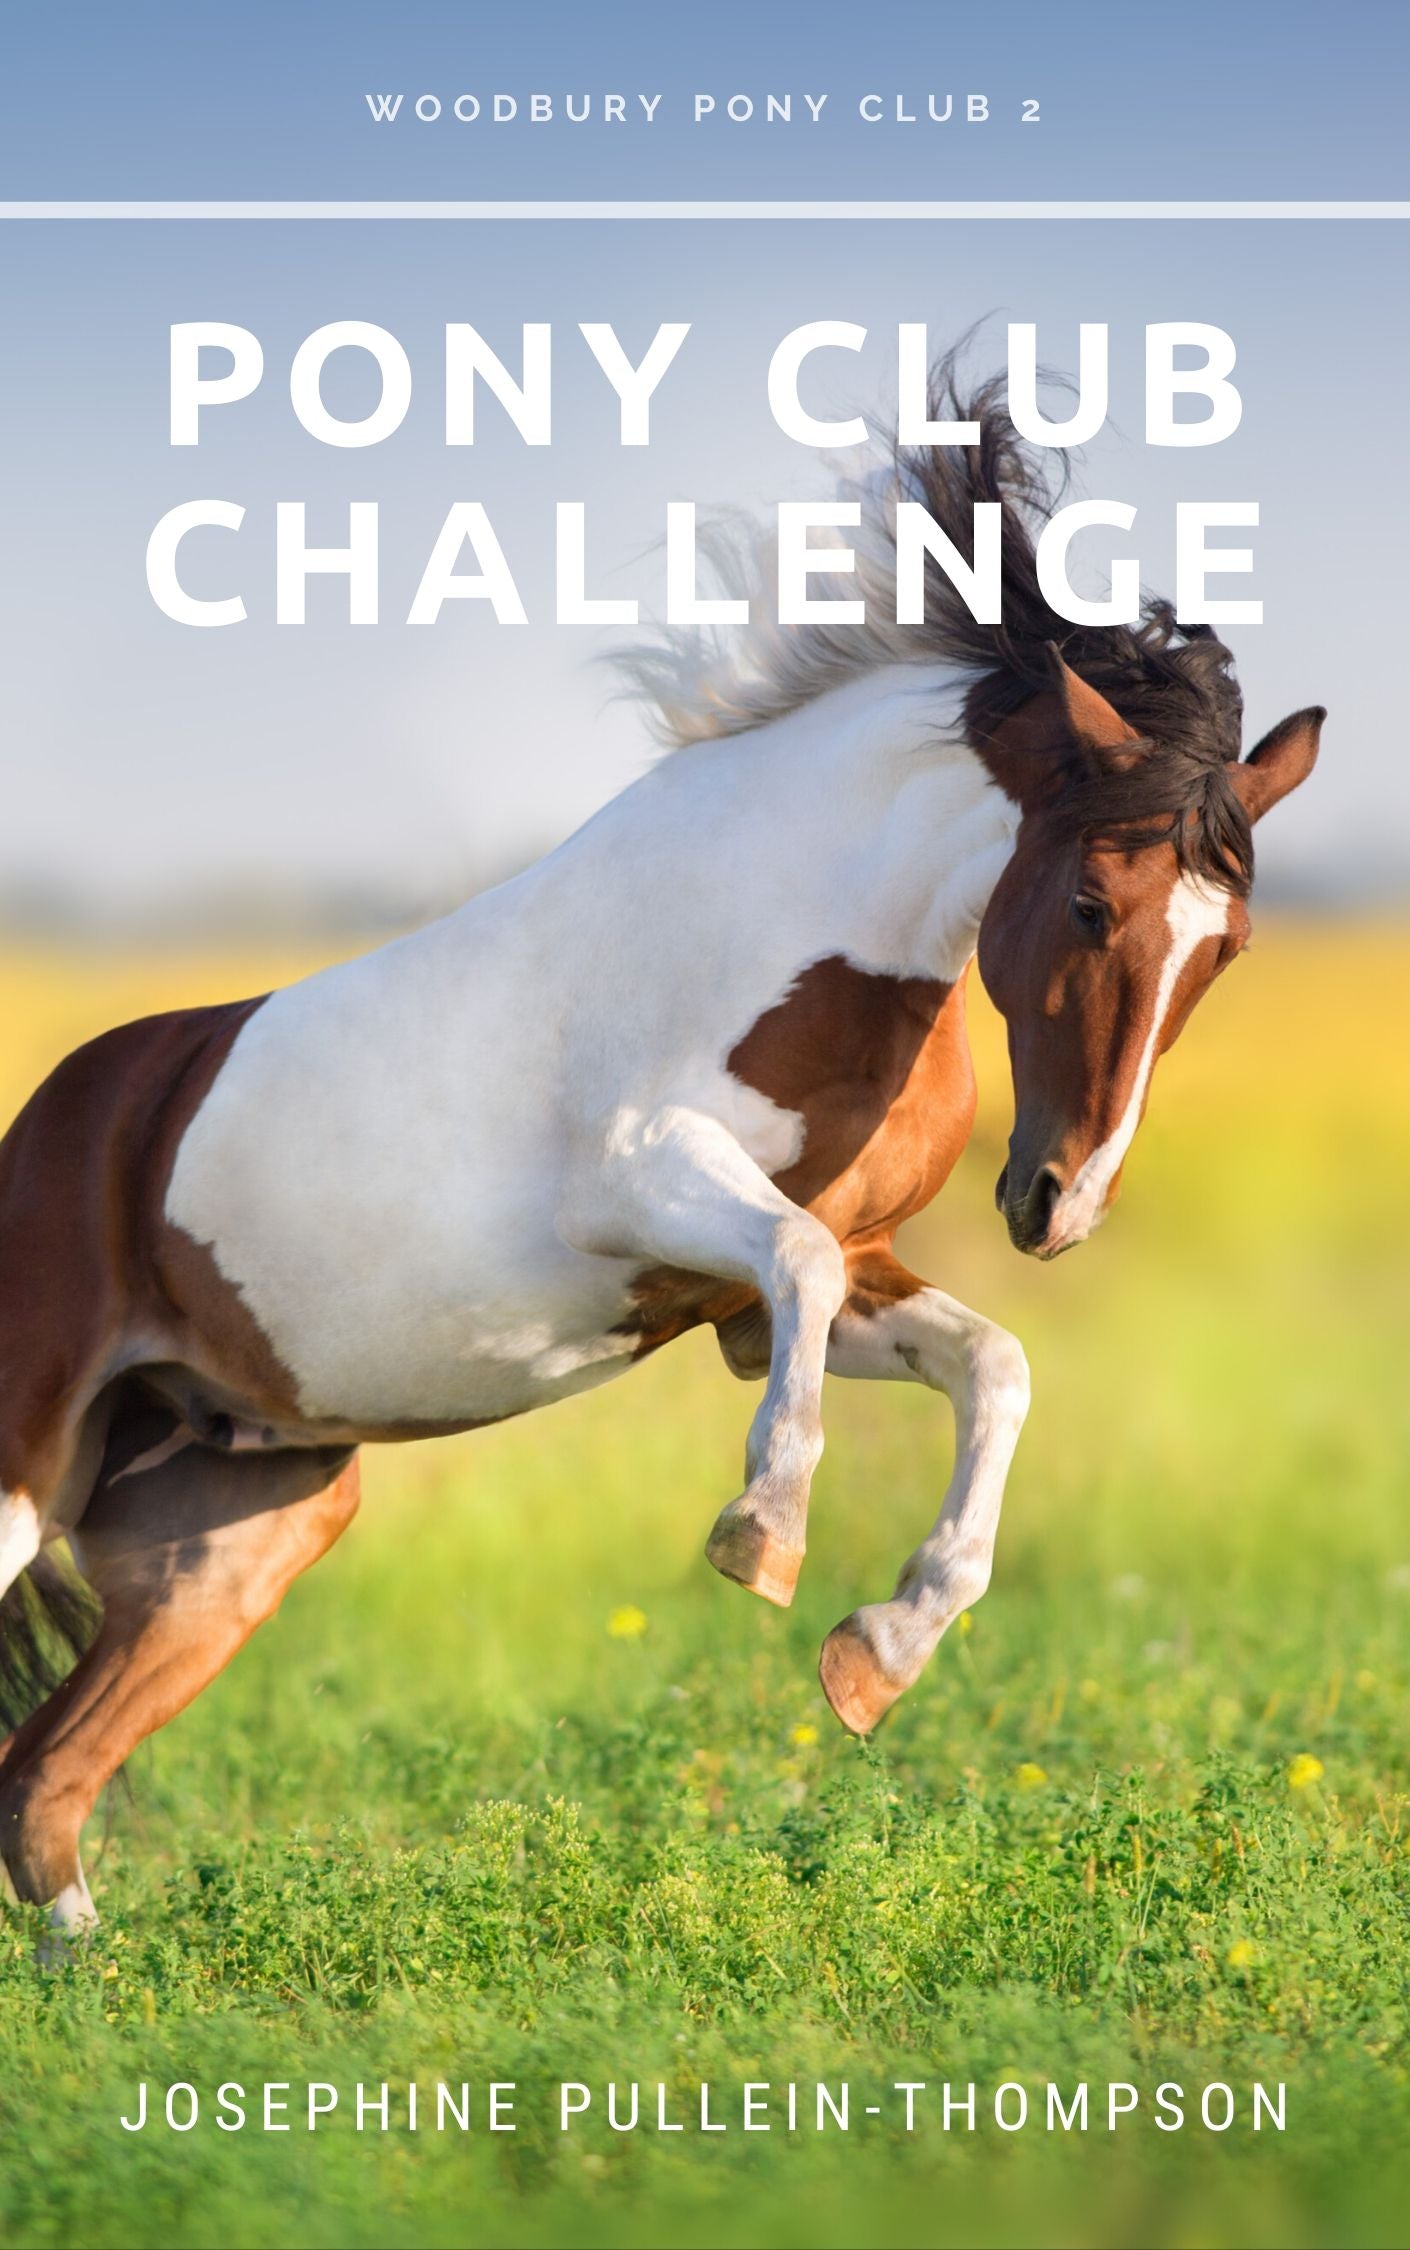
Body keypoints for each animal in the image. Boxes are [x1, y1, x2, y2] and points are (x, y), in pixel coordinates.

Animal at [0, 361, 1321, 1944]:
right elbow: (805, 1267)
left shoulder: (774, 1297)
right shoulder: (645, 1188)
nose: (1056, 1204)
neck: (797, 921)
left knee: (40, 1782)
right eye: (1084, 902)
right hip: (28, 1471)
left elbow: (989, 1362)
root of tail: (52, 1126)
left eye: (1223, 948)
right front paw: (763, 1535)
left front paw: (878, 1653)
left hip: (231, 1536)